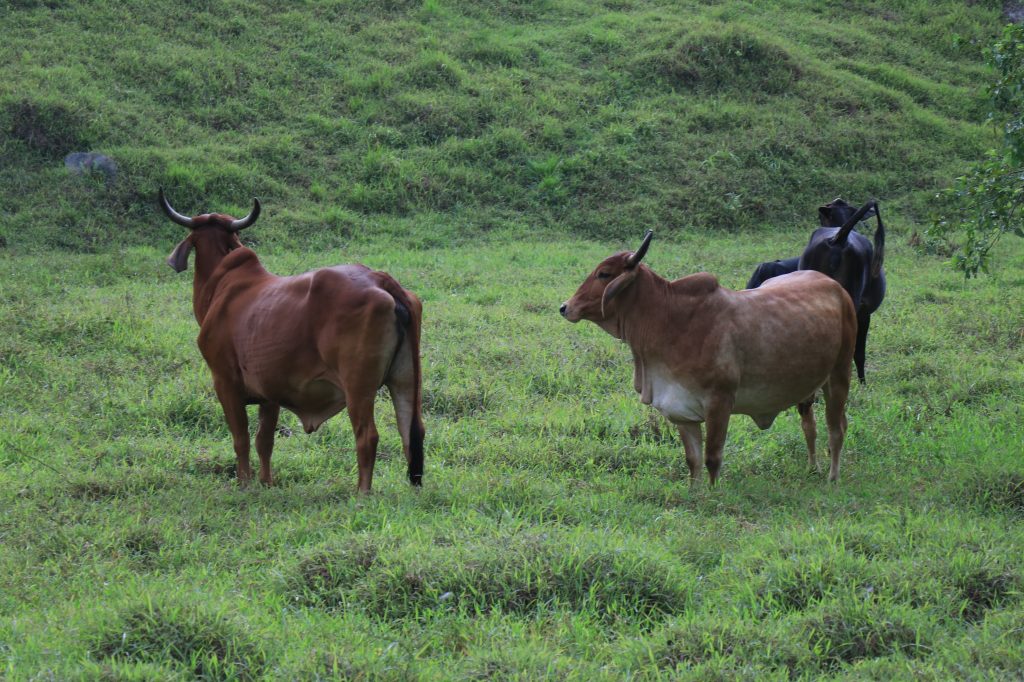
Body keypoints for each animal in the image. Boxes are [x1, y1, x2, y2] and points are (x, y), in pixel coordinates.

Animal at [157, 188, 421, 491]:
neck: (222, 283)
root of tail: (380, 280)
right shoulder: (269, 391)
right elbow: (264, 441)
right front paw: (266, 482)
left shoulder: (225, 382)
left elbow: (241, 439)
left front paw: (245, 484)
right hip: (405, 380)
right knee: (411, 433)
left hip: (358, 387)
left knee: (367, 436)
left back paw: (362, 492)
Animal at [561, 229, 856, 483]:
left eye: (604, 274)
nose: (566, 307)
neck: (668, 319)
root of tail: (837, 288)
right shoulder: (681, 410)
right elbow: (692, 460)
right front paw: (695, 492)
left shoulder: (719, 402)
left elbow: (712, 458)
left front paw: (713, 494)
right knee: (812, 425)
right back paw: (813, 468)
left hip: (839, 375)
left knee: (836, 429)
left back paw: (833, 477)